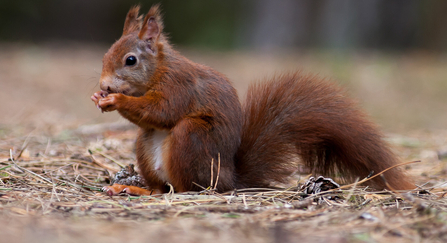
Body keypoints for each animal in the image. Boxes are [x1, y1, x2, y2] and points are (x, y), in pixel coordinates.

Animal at [92, 5, 416, 196]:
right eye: (106, 55)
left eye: (130, 60)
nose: (104, 84)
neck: (159, 68)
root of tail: (230, 179)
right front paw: (100, 97)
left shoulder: (179, 85)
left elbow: (162, 111)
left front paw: (116, 99)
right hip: (145, 144)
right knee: (160, 189)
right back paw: (134, 190)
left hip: (192, 138)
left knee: (186, 187)